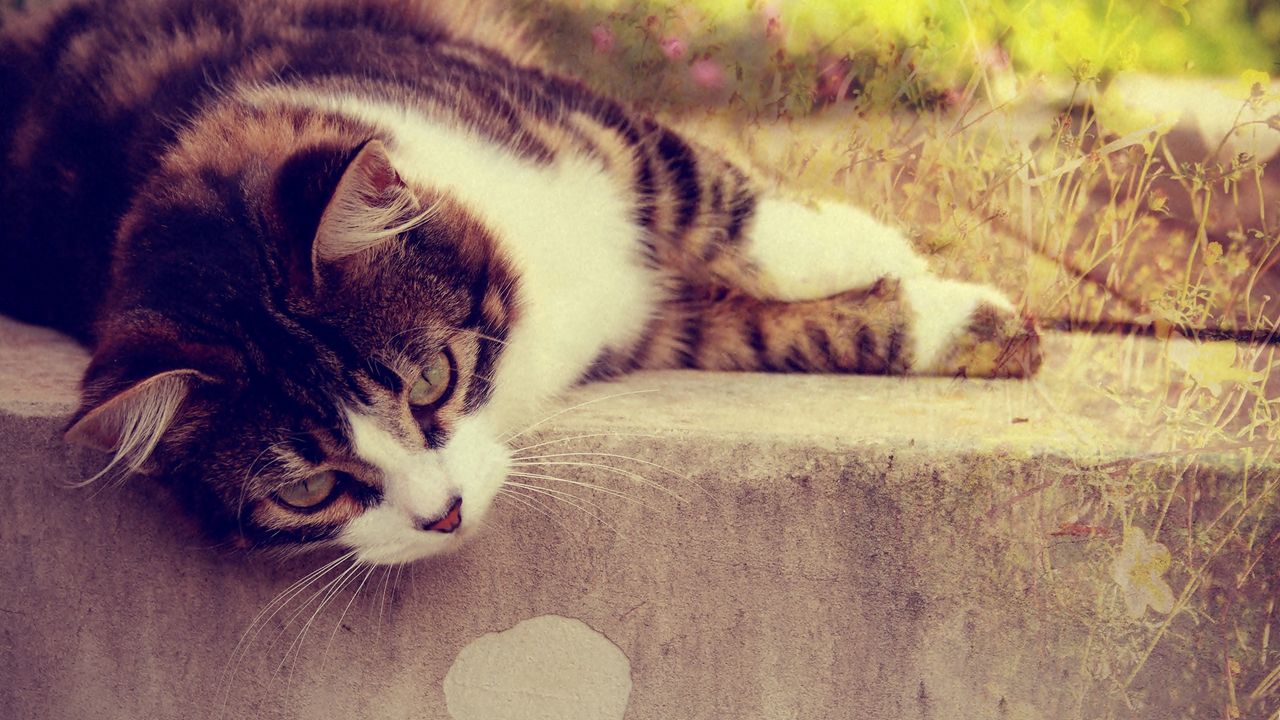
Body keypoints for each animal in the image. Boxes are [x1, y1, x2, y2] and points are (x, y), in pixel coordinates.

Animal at [0, 0, 1039, 563]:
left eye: (430, 381)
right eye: (309, 494)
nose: (445, 513)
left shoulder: (595, 132)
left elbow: (725, 203)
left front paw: (889, 250)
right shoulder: (658, 324)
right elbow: (769, 327)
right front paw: (958, 320)